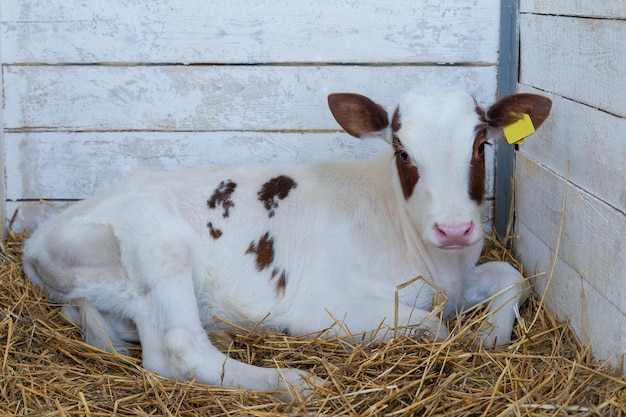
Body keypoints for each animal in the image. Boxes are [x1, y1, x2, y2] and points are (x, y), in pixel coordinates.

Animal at [22, 87, 552, 396]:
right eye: (402, 151)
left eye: (481, 145)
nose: (454, 229)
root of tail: (35, 243)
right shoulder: (324, 307)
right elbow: (432, 327)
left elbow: (511, 275)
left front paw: (488, 334)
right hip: (158, 242)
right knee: (180, 348)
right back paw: (294, 382)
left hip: (124, 292)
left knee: (153, 349)